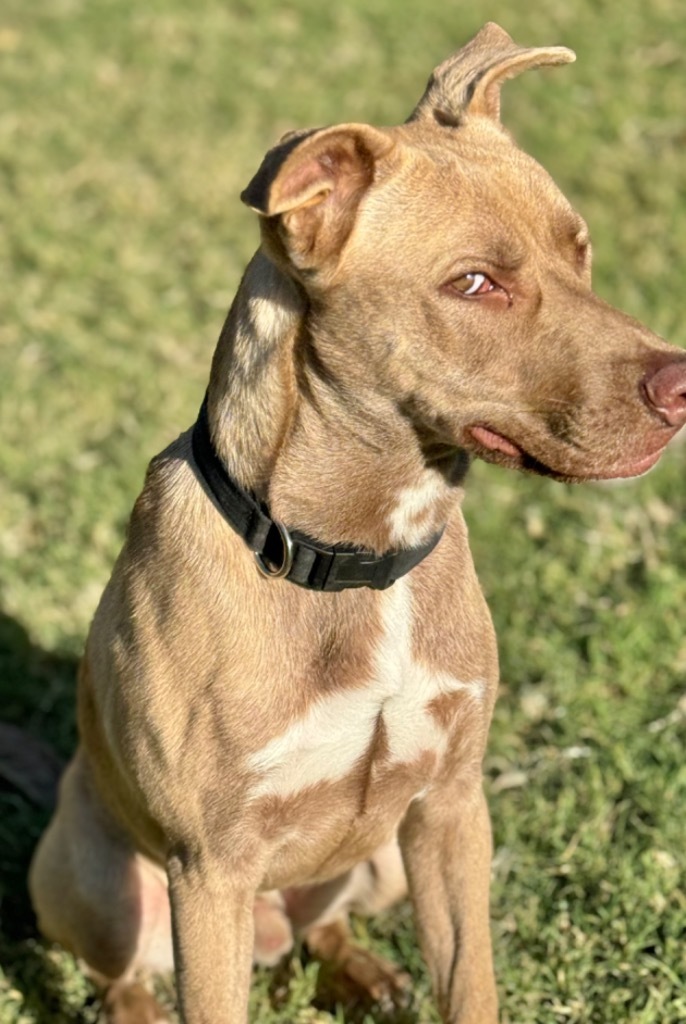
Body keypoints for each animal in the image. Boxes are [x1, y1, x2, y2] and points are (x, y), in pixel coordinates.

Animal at [26, 24, 686, 1024]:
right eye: (475, 283)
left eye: (581, 251)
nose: (681, 386)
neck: (353, 555)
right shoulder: (210, 871)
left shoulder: (452, 809)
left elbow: (471, 982)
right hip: (102, 884)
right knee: (124, 974)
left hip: (379, 860)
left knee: (326, 925)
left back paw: (367, 975)